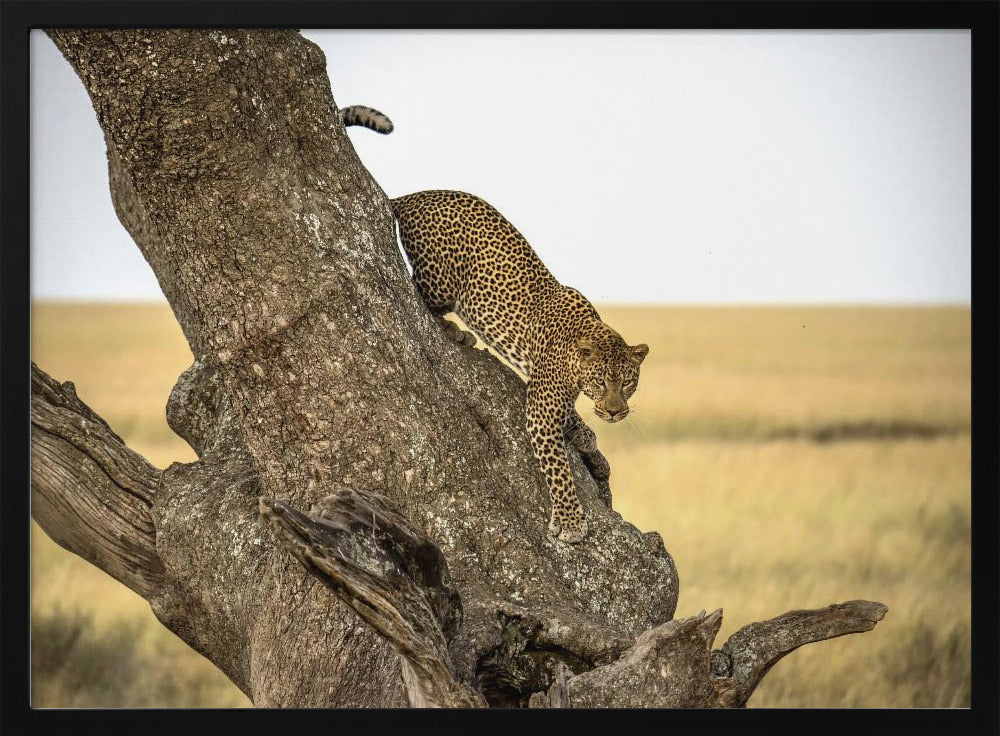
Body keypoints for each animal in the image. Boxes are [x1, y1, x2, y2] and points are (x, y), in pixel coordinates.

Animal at [391, 190, 648, 544]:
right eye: (600, 383)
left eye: (627, 384)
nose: (614, 412)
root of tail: (411, 197)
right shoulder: (542, 407)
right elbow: (559, 468)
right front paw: (571, 521)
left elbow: (569, 412)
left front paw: (583, 433)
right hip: (440, 281)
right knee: (419, 293)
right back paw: (457, 332)